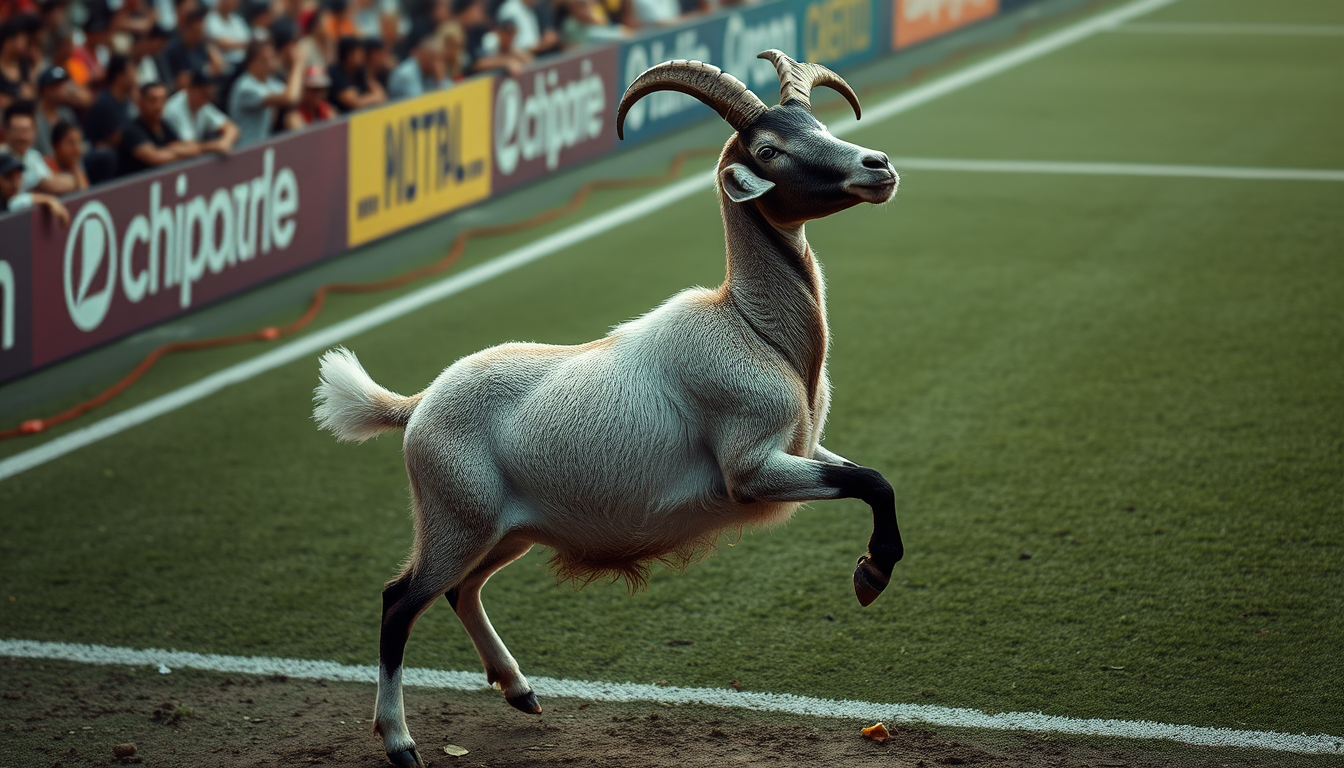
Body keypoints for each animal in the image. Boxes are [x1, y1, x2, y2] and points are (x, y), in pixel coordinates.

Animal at [314, 50, 902, 768]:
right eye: (769, 149)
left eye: (816, 122)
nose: (877, 165)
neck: (753, 330)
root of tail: (417, 405)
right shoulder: (752, 470)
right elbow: (871, 480)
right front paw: (871, 576)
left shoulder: (804, 451)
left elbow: (875, 479)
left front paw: (871, 571)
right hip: (455, 520)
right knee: (400, 601)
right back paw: (401, 742)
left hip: (505, 530)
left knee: (461, 590)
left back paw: (520, 692)